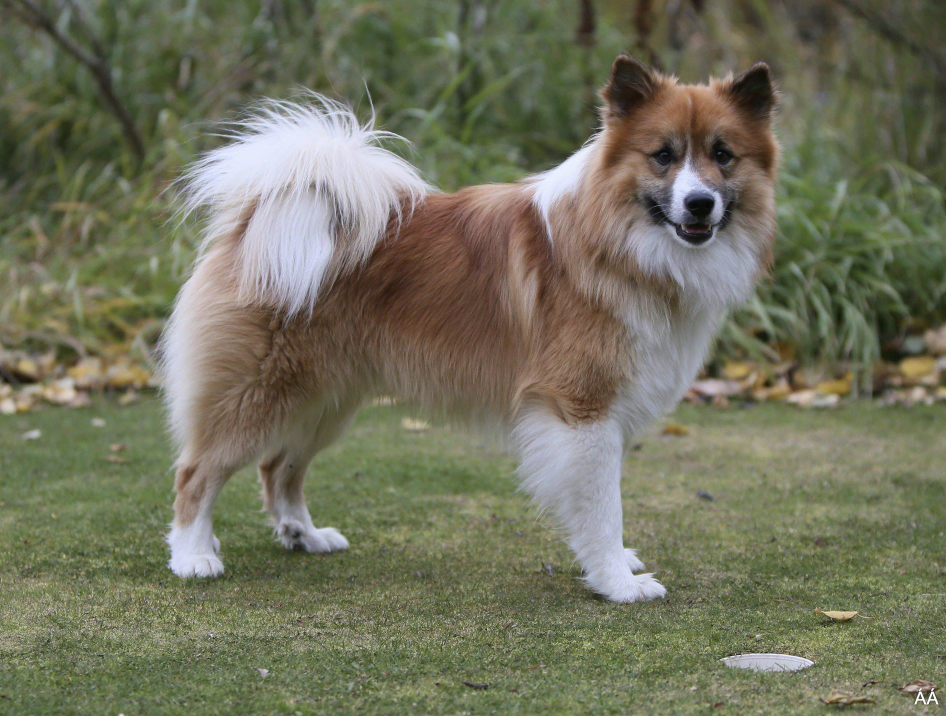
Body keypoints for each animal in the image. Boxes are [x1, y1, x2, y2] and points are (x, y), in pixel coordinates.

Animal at [162, 57, 780, 604]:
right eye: (663, 156)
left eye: (722, 156)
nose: (699, 204)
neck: (619, 241)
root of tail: (259, 217)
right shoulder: (581, 410)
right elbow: (604, 507)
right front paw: (617, 583)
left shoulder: (609, 410)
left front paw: (616, 567)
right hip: (257, 393)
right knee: (197, 472)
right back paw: (194, 556)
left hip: (325, 402)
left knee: (278, 467)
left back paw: (303, 535)